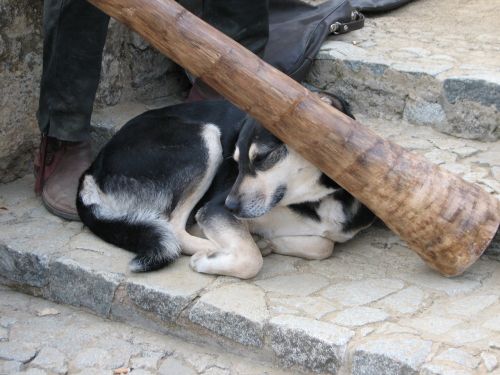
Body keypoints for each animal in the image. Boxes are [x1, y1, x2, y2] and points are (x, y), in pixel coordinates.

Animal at [77, 95, 376, 280]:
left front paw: (269, 241)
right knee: (174, 227)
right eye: (235, 161)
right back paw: (210, 248)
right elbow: (252, 259)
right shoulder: (213, 209)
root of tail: (92, 169)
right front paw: (215, 257)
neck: (315, 199)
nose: (231, 206)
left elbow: (323, 245)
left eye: (262, 158)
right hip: (204, 138)